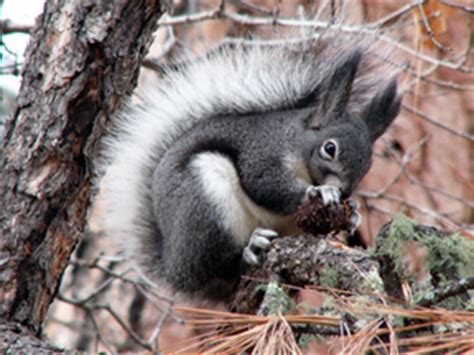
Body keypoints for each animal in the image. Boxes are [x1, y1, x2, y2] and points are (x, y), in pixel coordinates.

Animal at [102, 34, 402, 300]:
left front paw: (352, 212)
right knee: (216, 267)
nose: (344, 191)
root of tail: (172, 266)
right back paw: (250, 249)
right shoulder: (261, 151)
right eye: (330, 148)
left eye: (367, 166)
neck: (298, 144)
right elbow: (264, 183)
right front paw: (319, 193)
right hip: (205, 204)